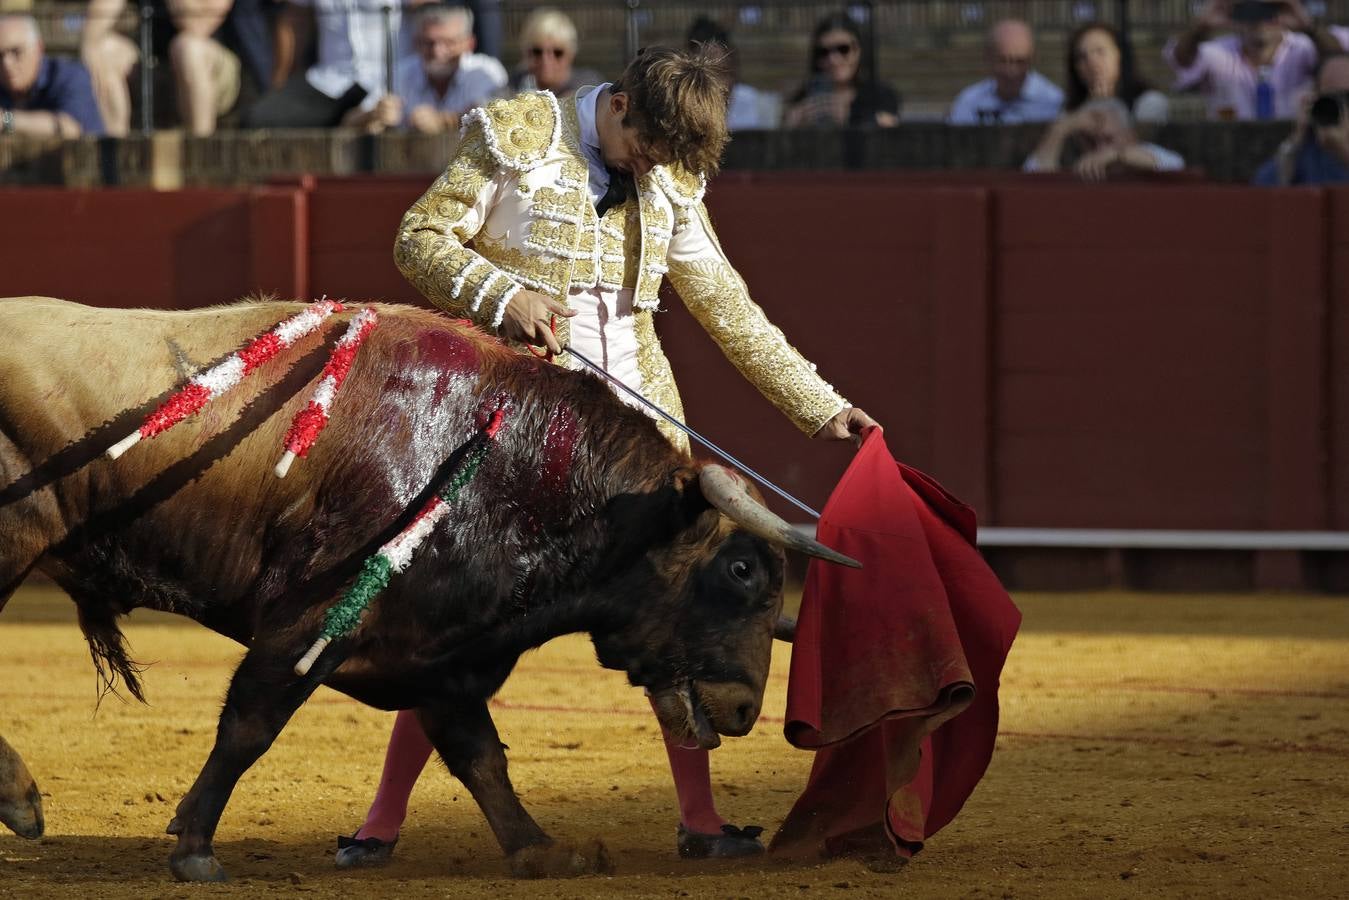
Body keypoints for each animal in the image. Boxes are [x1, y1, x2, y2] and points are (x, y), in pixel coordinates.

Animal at [0, 299, 857, 885]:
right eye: (740, 570)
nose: (746, 709)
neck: (512, 467)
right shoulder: (310, 621)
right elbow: (249, 726)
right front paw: (194, 849)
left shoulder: (441, 657)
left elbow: (479, 756)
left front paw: (541, 849)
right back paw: (22, 800)